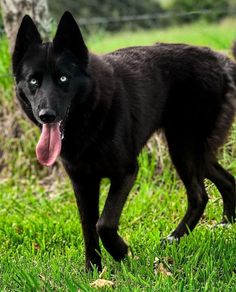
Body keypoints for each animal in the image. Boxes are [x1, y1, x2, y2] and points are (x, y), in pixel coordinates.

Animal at [13, 11, 236, 272]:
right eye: (33, 81)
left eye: (63, 78)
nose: (46, 115)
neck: (90, 115)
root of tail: (218, 59)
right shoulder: (82, 182)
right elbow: (88, 227)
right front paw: (93, 270)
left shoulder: (126, 172)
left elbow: (104, 223)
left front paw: (121, 252)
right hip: (194, 150)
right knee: (226, 181)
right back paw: (224, 226)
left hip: (183, 148)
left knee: (199, 196)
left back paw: (174, 238)